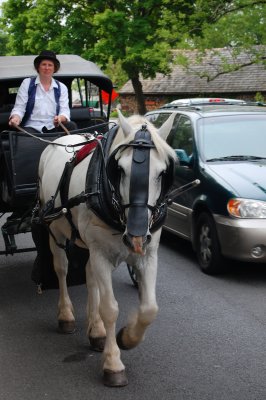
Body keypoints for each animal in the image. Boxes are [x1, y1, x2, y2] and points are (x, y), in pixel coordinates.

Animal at [36, 111, 176, 386]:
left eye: (162, 173)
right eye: (119, 169)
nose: (136, 237)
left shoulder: (148, 255)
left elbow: (149, 309)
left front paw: (127, 338)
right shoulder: (101, 252)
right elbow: (110, 308)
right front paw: (113, 363)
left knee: (90, 276)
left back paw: (97, 330)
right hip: (55, 231)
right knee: (62, 269)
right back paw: (66, 315)